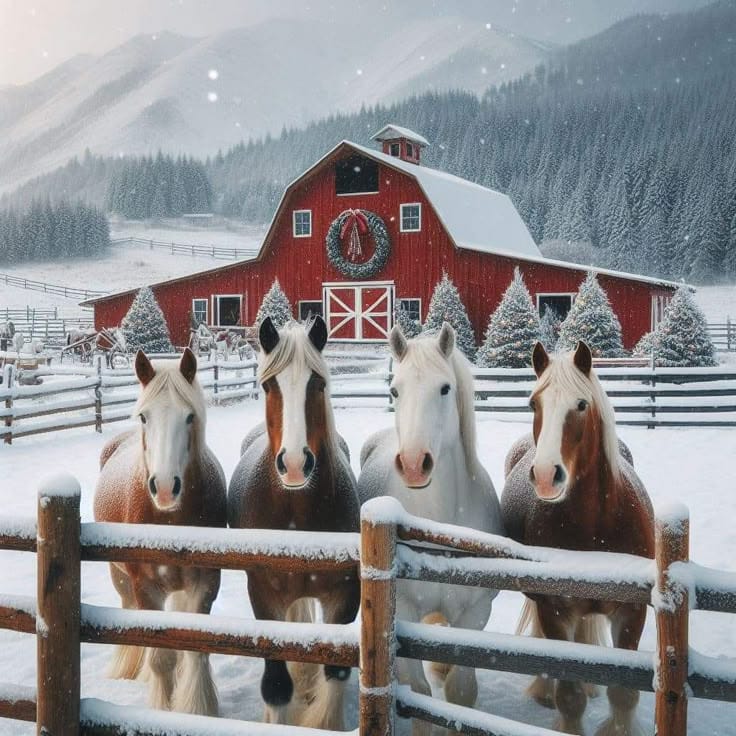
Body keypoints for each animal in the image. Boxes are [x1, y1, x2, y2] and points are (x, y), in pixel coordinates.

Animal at [93, 348, 227, 716]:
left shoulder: (205, 583)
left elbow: (194, 650)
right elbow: (160, 659)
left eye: (190, 417)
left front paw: (196, 710)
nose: (165, 487)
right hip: (120, 579)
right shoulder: (145, 587)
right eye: (144, 417)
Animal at [228, 316, 361, 730]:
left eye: (317, 384)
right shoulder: (263, 595)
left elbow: (335, 671)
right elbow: (276, 684)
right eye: (268, 385)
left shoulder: (344, 597)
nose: (296, 463)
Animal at [358, 323, 503, 734]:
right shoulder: (404, 613)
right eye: (395, 390)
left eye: (445, 388)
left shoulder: (475, 613)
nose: (412, 464)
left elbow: (461, 693)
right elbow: (419, 694)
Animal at [502, 341, 654, 736]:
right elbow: (569, 697)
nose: (545, 475)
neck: (595, 524)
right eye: (533, 404)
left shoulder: (632, 611)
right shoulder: (554, 610)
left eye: (582, 405)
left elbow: (624, 694)